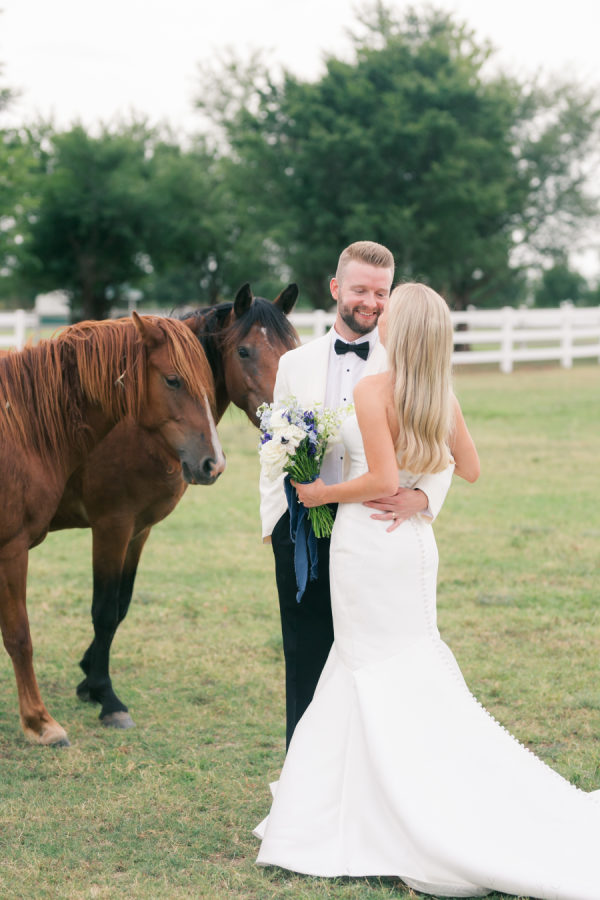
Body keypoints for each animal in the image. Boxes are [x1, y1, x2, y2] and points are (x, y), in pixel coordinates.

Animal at [0, 312, 225, 748]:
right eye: (173, 380)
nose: (214, 463)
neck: (21, 429)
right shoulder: (16, 549)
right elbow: (20, 636)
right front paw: (41, 722)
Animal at [49, 284, 300, 728]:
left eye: (292, 348)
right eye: (244, 352)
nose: (289, 426)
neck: (136, 421)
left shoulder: (138, 530)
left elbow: (121, 606)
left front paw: (88, 677)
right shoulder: (111, 527)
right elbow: (104, 610)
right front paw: (106, 696)